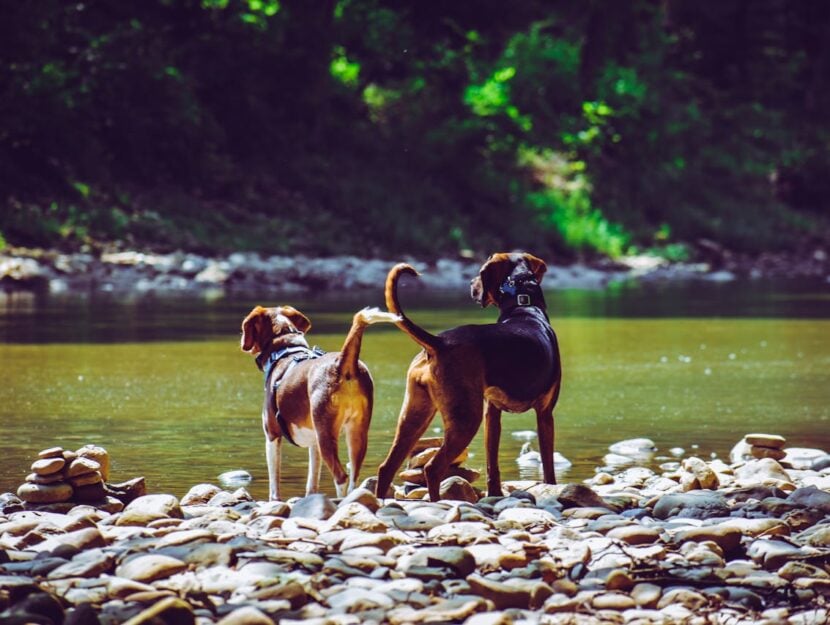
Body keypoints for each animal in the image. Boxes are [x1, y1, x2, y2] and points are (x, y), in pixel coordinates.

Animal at [240, 304, 400, 500]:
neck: (285, 349)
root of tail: (342, 363)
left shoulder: (272, 435)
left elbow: (274, 483)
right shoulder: (314, 442)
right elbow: (312, 481)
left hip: (326, 436)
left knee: (341, 477)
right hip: (357, 433)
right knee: (354, 476)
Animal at [378, 251, 564, 500]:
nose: (470, 284)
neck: (524, 306)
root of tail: (439, 342)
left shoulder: (492, 414)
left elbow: (492, 464)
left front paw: (494, 493)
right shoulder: (545, 414)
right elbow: (548, 465)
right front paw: (551, 487)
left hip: (414, 415)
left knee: (386, 467)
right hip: (465, 419)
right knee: (432, 468)